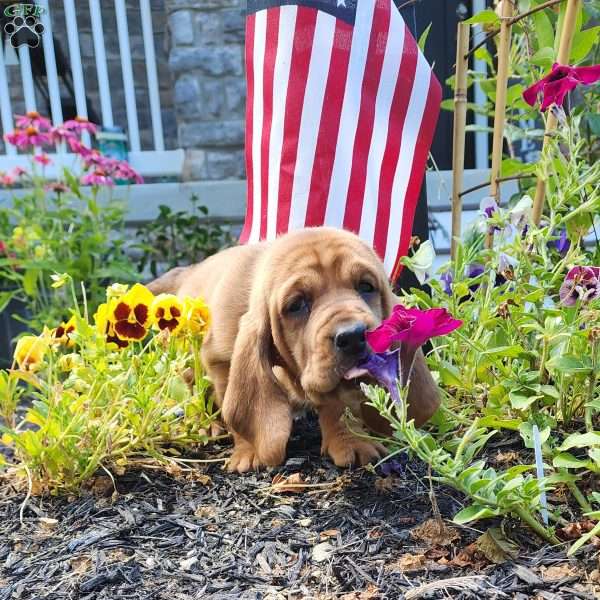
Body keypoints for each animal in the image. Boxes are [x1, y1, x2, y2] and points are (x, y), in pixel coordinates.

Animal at [149, 227, 440, 472]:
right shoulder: (220, 362)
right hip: (188, 360)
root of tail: (188, 271)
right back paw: (207, 424)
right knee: (195, 391)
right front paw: (249, 451)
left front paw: (350, 441)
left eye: (366, 286)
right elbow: (231, 408)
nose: (353, 336)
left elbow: (338, 406)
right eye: (297, 304)